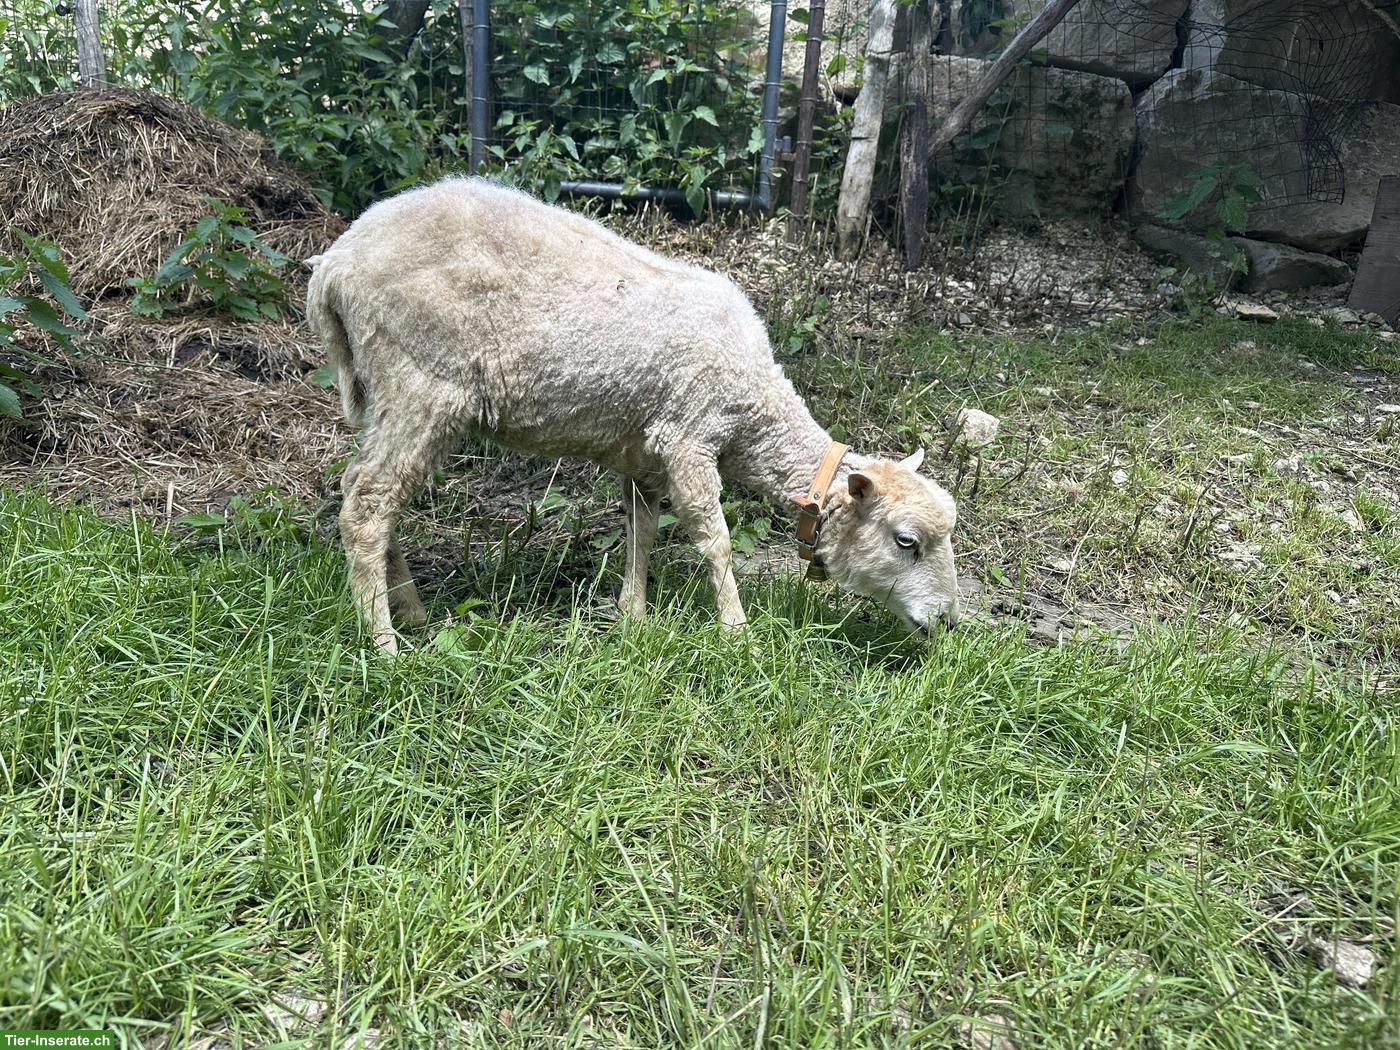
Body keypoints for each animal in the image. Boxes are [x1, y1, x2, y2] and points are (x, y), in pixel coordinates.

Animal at [306, 177, 960, 653]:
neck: (754, 408)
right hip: (420, 383)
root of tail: (334, 267)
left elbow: (640, 528)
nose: (950, 623)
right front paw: (737, 631)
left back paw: (411, 613)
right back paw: (384, 644)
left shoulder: (643, 452)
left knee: (369, 491)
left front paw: (634, 617)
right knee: (367, 504)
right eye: (906, 541)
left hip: (388, 392)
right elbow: (713, 537)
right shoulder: (690, 434)